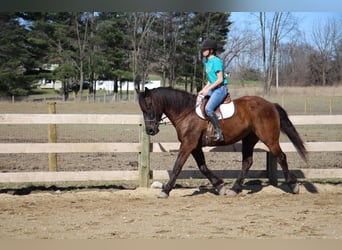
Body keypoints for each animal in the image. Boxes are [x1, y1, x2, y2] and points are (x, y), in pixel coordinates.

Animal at [136, 87, 308, 198]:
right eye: (142, 109)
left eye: (149, 106)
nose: (150, 130)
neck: (186, 112)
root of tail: (271, 104)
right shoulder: (195, 146)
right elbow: (203, 167)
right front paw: (219, 186)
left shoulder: (188, 144)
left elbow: (177, 166)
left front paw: (165, 190)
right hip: (249, 139)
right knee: (247, 162)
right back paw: (235, 188)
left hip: (269, 139)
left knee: (281, 157)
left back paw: (293, 185)